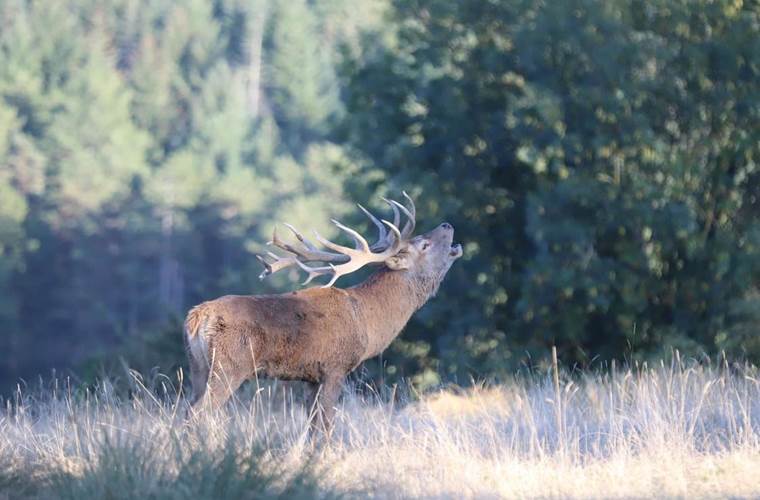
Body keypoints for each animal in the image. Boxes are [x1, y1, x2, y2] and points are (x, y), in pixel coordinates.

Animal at [183, 192, 462, 431]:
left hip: (198, 367)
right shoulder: (335, 367)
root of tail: (198, 316)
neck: (366, 319)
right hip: (230, 364)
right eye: (424, 244)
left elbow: (312, 425)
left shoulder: (311, 377)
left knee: (188, 409)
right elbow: (325, 425)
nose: (448, 224)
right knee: (199, 412)